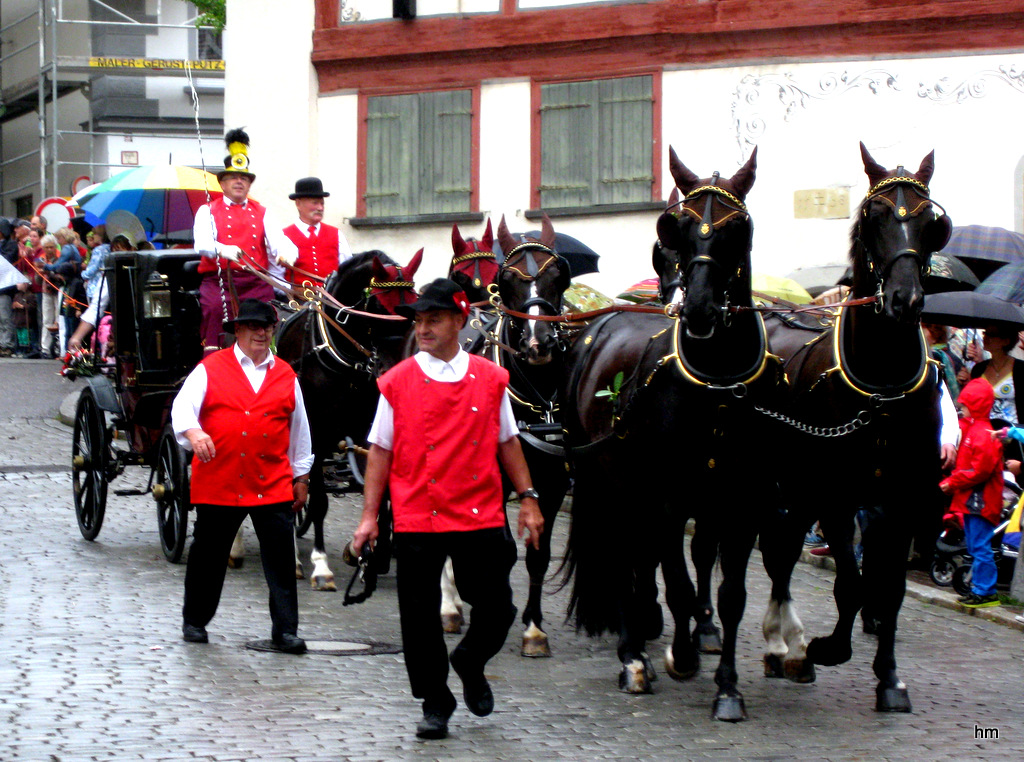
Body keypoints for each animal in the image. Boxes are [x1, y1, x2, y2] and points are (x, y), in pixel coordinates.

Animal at [274, 249, 421, 589]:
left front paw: (366, 555)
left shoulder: (368, 430)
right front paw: (320, 564)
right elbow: (317, 499)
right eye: (379, 307)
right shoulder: (315, 432)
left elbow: (376, 493)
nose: (394, 371)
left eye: (412, 310)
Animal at [561, 147, 782, 721]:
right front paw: (680, 653)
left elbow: (730, 596)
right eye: (676, 227)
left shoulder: (740, 503)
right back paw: (634, 655)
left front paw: (727, 687)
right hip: (610, 482)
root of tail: (598, 327)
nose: (700, 307)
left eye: (737, 227)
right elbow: (679, 583)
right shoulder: (668, 498)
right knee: (623, 553)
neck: (718, 384)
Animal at [757, 144, 954, 712]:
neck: (882, 386)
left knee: (783, 550)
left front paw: (889, 678)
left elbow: (890, 590)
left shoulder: (904, 498)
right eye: (875, 215)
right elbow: (851, 580)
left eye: (931, 221)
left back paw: (783, 646)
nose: (905, 299)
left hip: (795, 486)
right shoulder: (837, 493)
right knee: (778, 551)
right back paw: (781, 644)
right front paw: (829, 647)